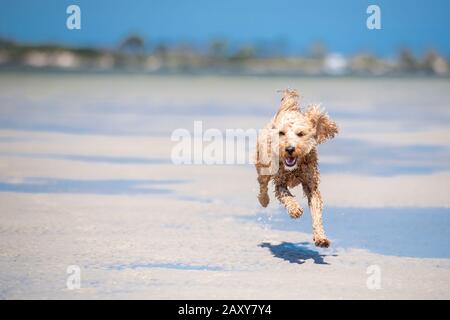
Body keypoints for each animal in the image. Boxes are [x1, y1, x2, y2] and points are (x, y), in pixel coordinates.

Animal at [255, 89, 340, 249]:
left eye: (300, 134)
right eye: (281, 133)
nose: (289, 149)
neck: (294, 168)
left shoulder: (311, 184)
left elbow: (316, 211)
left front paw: (321, 237)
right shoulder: (280, 182)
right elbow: (286, 196)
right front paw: (295, 210)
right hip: (263, 163)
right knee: (262, 184)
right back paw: (264, 200)